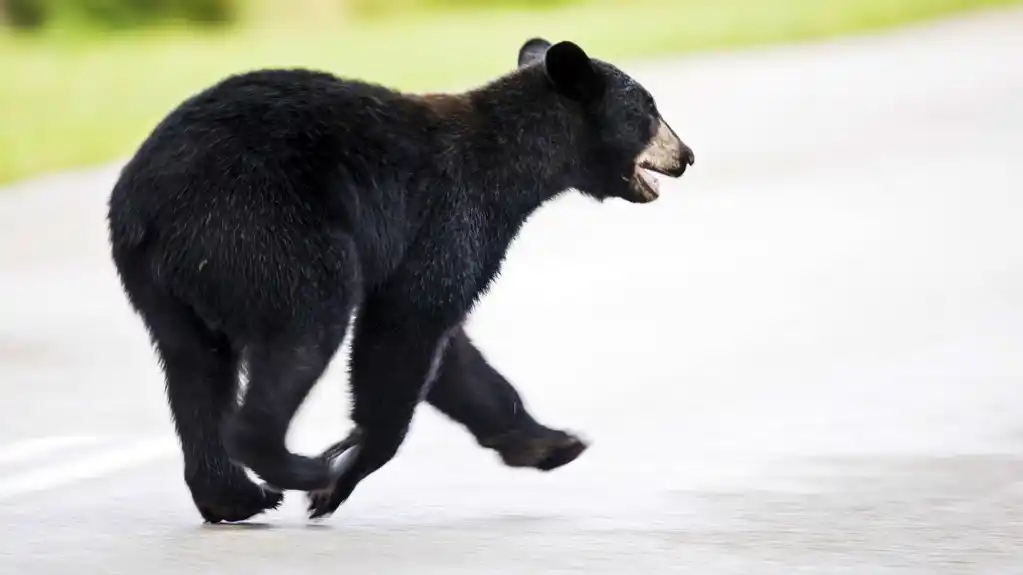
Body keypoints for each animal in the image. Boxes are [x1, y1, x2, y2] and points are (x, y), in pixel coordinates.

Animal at [105, 34, 695, 519]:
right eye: (648, 109)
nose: (686, 154)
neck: (512, 166)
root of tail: (144, 202)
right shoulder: (451, 215)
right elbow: (407, 328)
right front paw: (342, 475)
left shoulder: (431, 246)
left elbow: (454, 355)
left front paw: (549, 441)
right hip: (262, 231)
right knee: (305, 327)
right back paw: (297, 467)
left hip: (166, 283)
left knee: (194, 368)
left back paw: (232, 496)